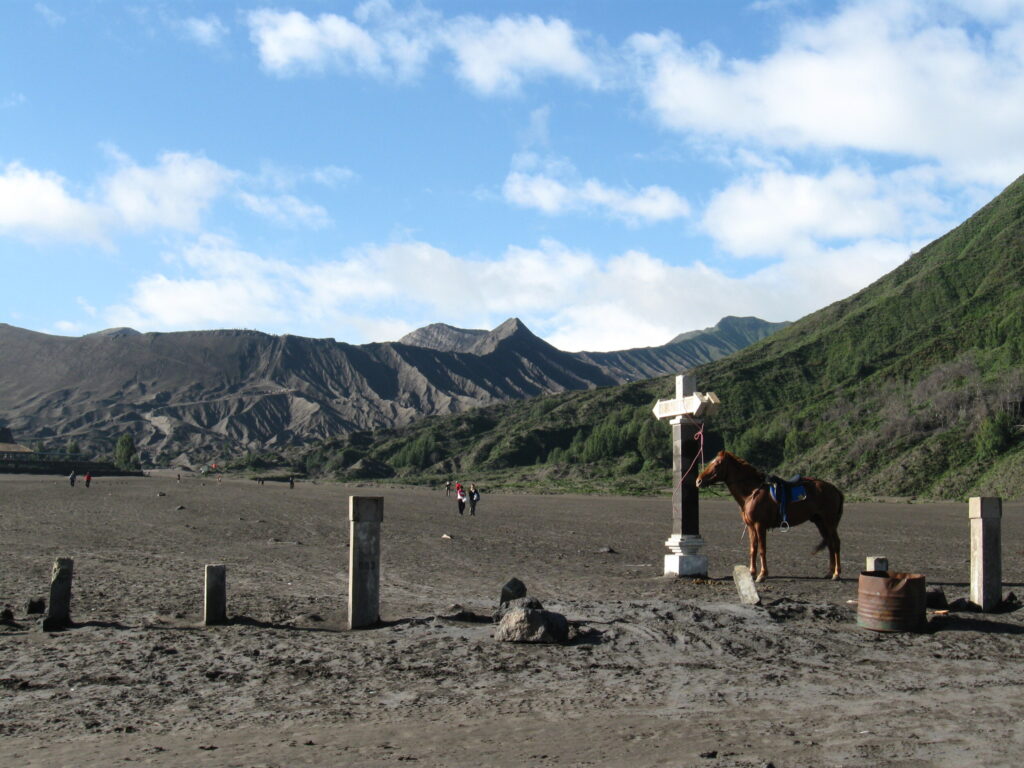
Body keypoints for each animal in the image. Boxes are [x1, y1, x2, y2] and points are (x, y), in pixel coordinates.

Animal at [696, 450, 847, 581]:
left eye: (717, 464)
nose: (698, 481)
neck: (752, 492)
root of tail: (835, 489)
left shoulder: (760, 526)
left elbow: (762, 549)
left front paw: (762, 575)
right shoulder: (751, 526)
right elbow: (753, 548)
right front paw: (752, 572)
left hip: (829, 522)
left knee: (836, 543)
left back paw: (837, 573)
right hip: (820, 522)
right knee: (830, 543)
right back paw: (829, 573)